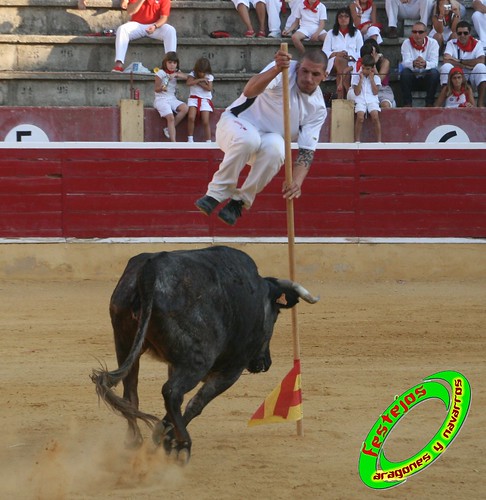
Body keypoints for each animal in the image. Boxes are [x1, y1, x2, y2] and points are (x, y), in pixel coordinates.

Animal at [92, 247, 318, 464]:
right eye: (276, 315)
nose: (265, 362)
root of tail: (150, 270)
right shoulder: (230, 369)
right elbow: (197, 403)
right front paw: (168, 438)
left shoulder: (175, 363)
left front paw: (163, 434)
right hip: (198, 361)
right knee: (172, 392)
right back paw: (183, 445)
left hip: (125, 343)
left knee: (131, 393)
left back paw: (134, 441)